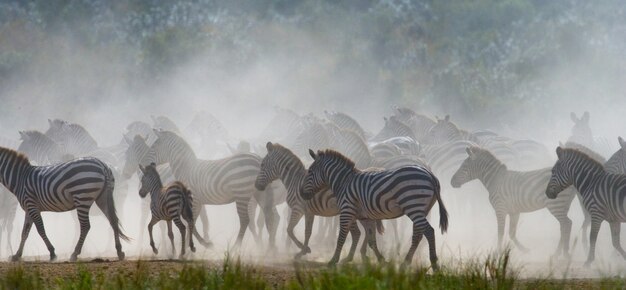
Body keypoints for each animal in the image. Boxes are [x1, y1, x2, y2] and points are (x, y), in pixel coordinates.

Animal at [302, 150, 444, 270]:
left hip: (413, 206)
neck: (344, 182)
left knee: (429, 231)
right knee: (418, 235)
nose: (302, 194)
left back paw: (434, 264)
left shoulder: (347, 211)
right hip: (422, 209)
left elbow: (341, 237)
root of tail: (430, 174)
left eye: (309, 172)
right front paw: (381, 260)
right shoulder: (365, 217)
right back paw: (405, 263)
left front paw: (333, 261)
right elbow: (371, 240)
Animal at [448, 147, 576, 256]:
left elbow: (500, 232)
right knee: (564, 226)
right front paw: (524, 250)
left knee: (567, 224)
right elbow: (512, 233)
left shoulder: (500, 209)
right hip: (564, 205)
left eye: (464, 166)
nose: (451, 182)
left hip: (556, 205)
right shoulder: (514, 211)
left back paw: (563, 253)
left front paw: (497, 253)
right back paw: (558, 253)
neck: (495, 180)